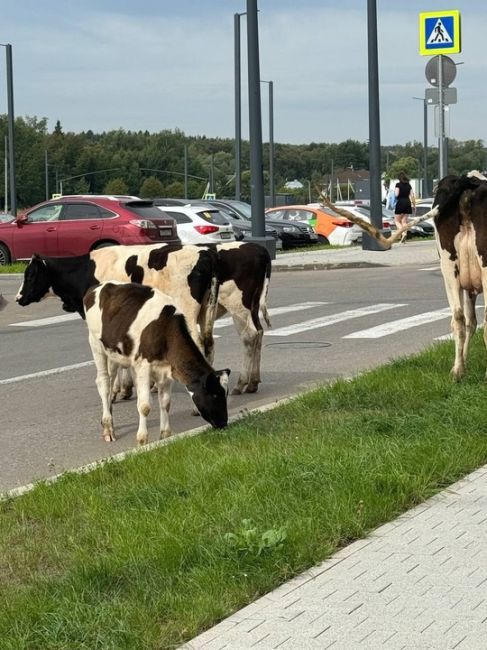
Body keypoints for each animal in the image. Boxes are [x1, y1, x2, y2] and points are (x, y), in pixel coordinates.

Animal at [84, 280, 231, 442]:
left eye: (226, 394)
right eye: (215, 394)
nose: (223, 423)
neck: (166, 332)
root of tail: (99, 286)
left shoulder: (167, 370)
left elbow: (165, 403)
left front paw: (165, 436)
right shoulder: (143, 366)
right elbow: (144, 406)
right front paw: (142, 439)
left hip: (114, 352)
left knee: (111, 379)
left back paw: (108, 417)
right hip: (96, 345)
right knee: (103, 382)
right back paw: (108, 428)